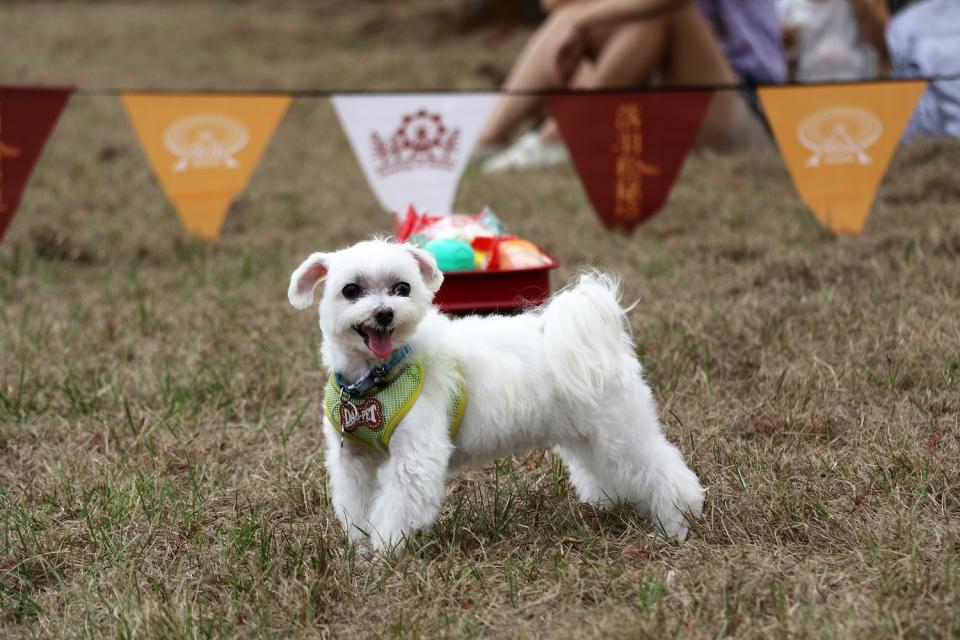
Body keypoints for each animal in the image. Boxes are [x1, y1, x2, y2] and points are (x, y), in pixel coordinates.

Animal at [288, 238, 700, 552]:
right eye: (351, 290)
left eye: (402, 288)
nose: (385, 313)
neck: (377, 379)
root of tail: (598, 340)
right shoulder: (352, 459)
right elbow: (355, 506)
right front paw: (359, 550)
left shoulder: (415, 457)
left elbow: (395, 508)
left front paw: (384, 552)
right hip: (587, 434)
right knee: (609, 469)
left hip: (621, 431)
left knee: (664, 471)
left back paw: (676, 524)